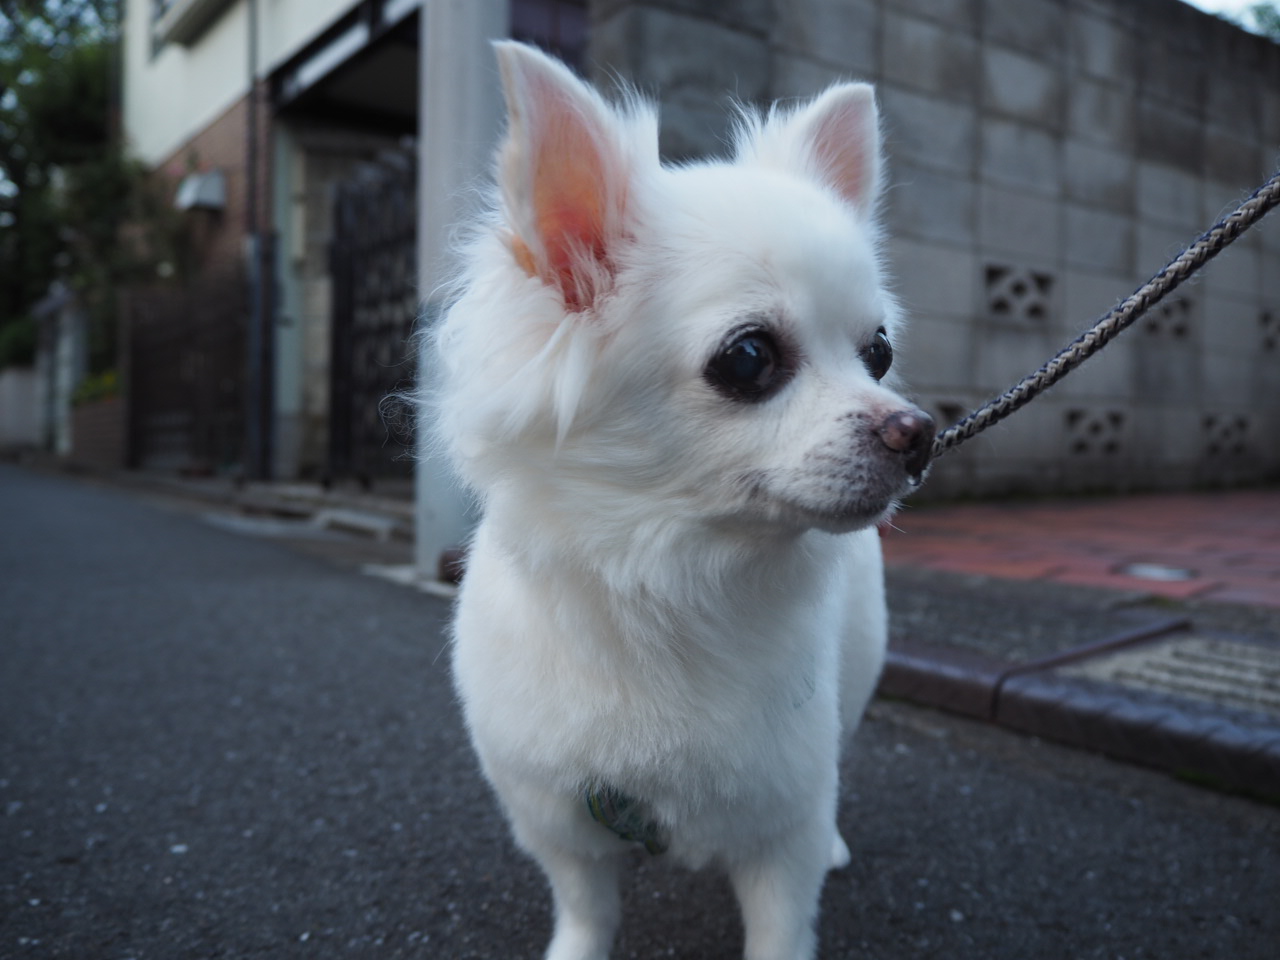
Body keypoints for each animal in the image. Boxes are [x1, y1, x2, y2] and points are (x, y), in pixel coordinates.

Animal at [430, 39, 931, 960]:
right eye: (749, 357)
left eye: (877, 352)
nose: (919, 432)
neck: (671, 577)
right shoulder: (559, 817)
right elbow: (586, 908)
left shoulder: (782, 825)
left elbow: (781, 927)